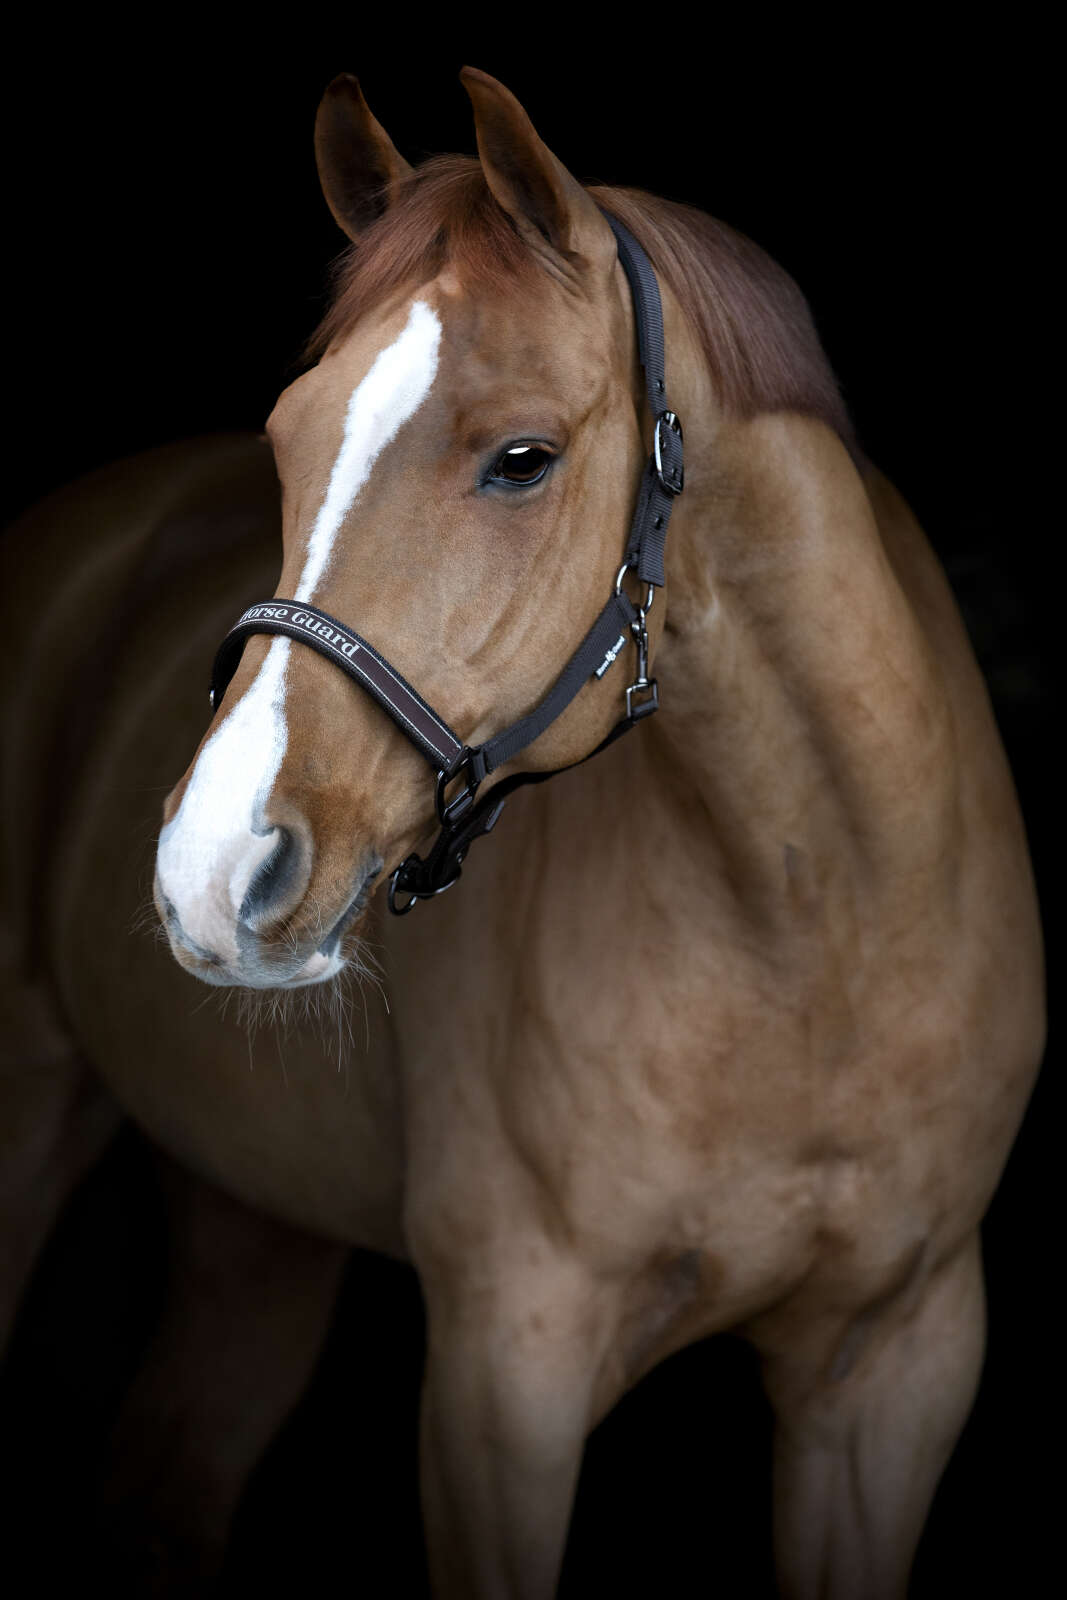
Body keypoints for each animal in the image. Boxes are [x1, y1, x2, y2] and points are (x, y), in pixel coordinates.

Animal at [0, 66, 1045, 1598]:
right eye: (287, 437)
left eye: (520, 458)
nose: (209, 871)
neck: (819, 931)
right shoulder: (507, 1378)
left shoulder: (896, 1368)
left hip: (254, 1220)